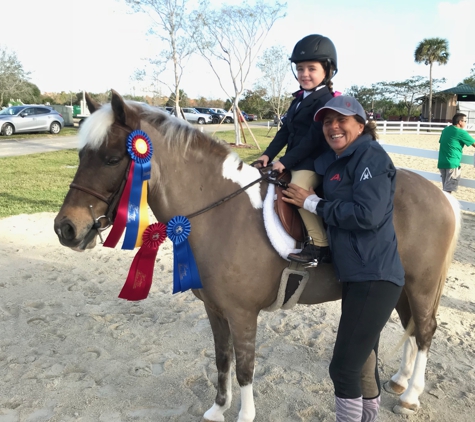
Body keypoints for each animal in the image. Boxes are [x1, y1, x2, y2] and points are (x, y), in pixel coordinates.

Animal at [54, 90, 462, 420]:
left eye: (111, 159)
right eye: (81, 154)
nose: (66, 229)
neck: (219, 212)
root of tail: (442, 196)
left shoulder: (242, 313)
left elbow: (246, 367)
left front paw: (244, 415)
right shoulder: (215, 309)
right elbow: (222, 359)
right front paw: (217, 410)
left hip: (422, 285)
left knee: (426, 330)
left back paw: (410, 396)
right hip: (402, 287)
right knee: (413, 328)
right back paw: (399, 381)